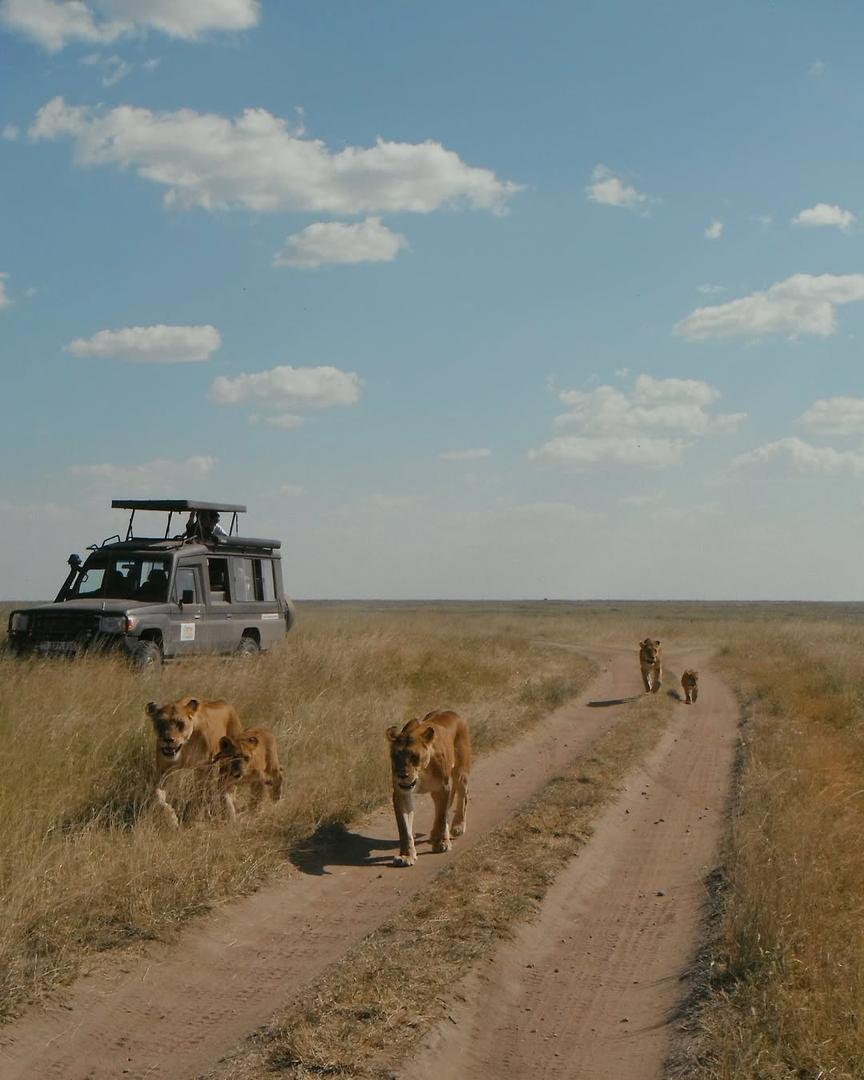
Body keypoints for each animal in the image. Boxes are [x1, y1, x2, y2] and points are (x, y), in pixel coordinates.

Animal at [145, 697, 243, 827]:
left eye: (180, 723)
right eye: (160, 723)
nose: (168, 740)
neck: (184, 746)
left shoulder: (205, 767)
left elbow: (202, 794)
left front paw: (196, 819)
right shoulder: (163, 770)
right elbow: (158, 795)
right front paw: (172, 819)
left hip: (229, 761)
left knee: (226, 788)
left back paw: (229, 811)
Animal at [385, 710, 471, 868]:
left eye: (414, 756)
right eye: (396, 756)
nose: (402, 775)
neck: (422, 772)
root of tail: (452, 712)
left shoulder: (443, 787)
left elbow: (441, 817)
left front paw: (441, 843)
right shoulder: (401, 793)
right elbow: (404, 828)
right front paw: (406, 855)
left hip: (461, 772)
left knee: (463, 795)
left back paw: (457, 827)